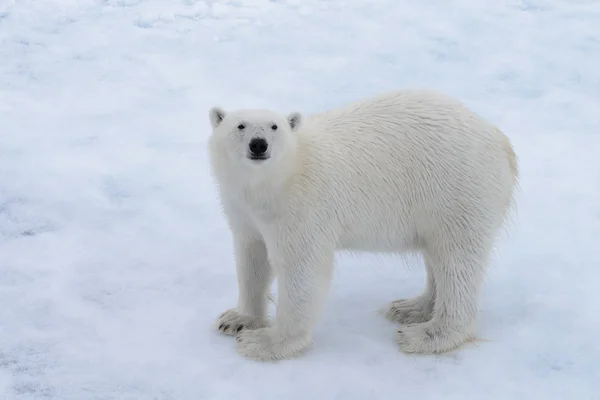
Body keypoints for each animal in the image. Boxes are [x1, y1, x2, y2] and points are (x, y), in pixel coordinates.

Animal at [209, 89, 516, 360]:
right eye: (240, 125)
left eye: (275, 127)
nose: (259, 144)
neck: (277, 181)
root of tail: (500, 140)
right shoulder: (245, 211)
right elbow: (252, 258)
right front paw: (236, 319)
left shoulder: (301, 207)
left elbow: (302, 270)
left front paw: (264, 342)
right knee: (437, 256)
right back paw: (410, 307)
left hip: (457, 191)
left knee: (457, 262)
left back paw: (425, 334)